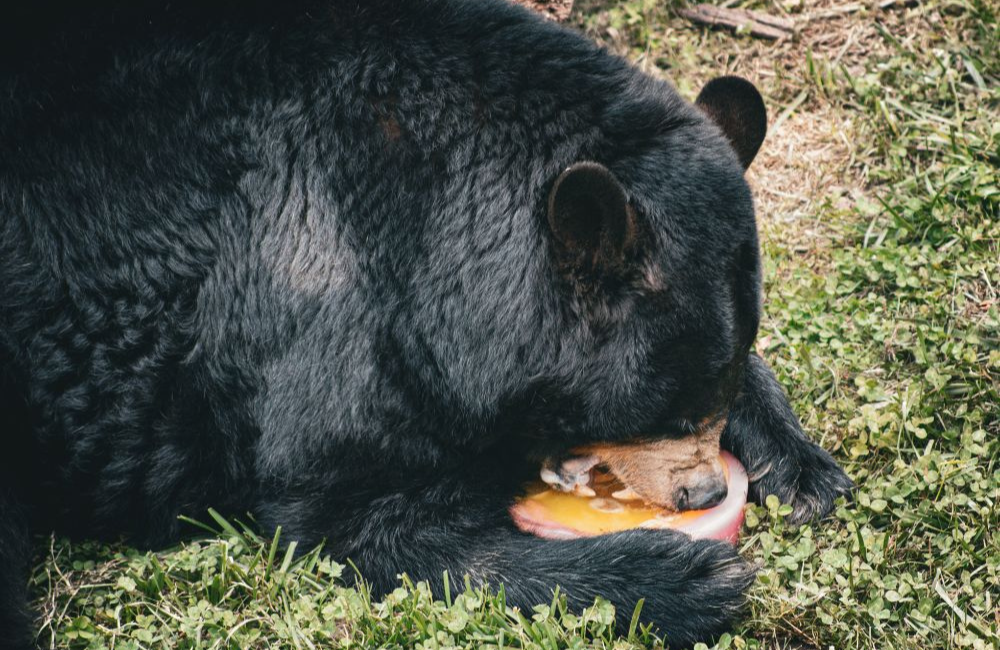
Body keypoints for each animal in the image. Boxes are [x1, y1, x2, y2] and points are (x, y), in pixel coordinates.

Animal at [0, 0, 853, 647]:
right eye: (667, 411)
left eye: (716, 391)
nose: (704, 491)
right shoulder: (322, 306)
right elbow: (362, 522)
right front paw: (682, 577)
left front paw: (801, 467)